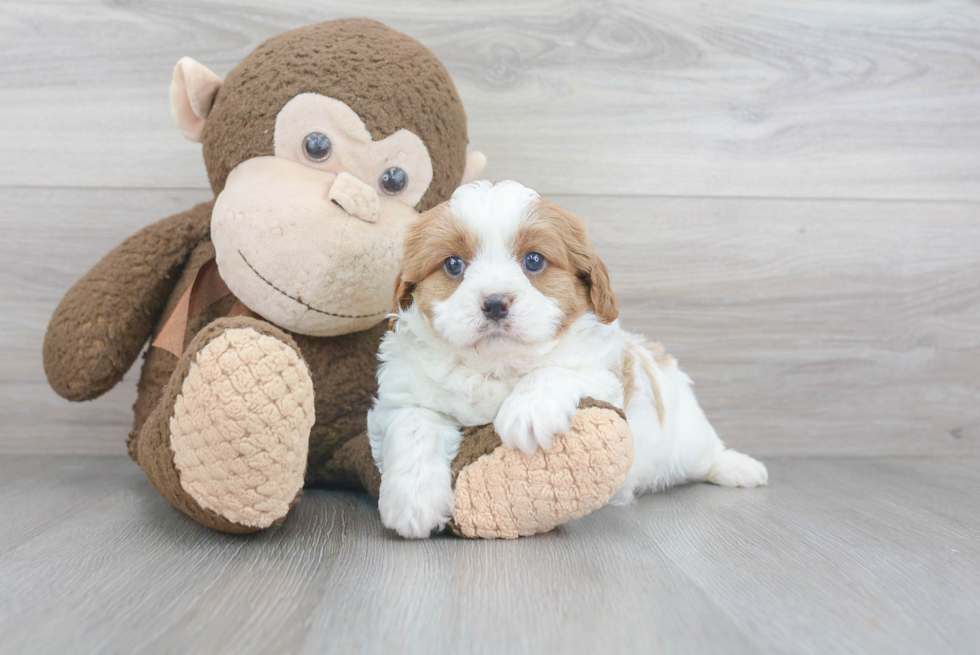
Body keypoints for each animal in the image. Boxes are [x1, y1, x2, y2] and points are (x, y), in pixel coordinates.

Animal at [368, 179, 764, 540]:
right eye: (453, 264)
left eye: (534, 260)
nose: (495, 303)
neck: (497, 365)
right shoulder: (403, 394)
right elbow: (413, 424)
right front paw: (412, 501)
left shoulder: (603, 372)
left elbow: (557, 369)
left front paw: (527, 411)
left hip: (685, 436)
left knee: (707, 454)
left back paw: (741, 468)